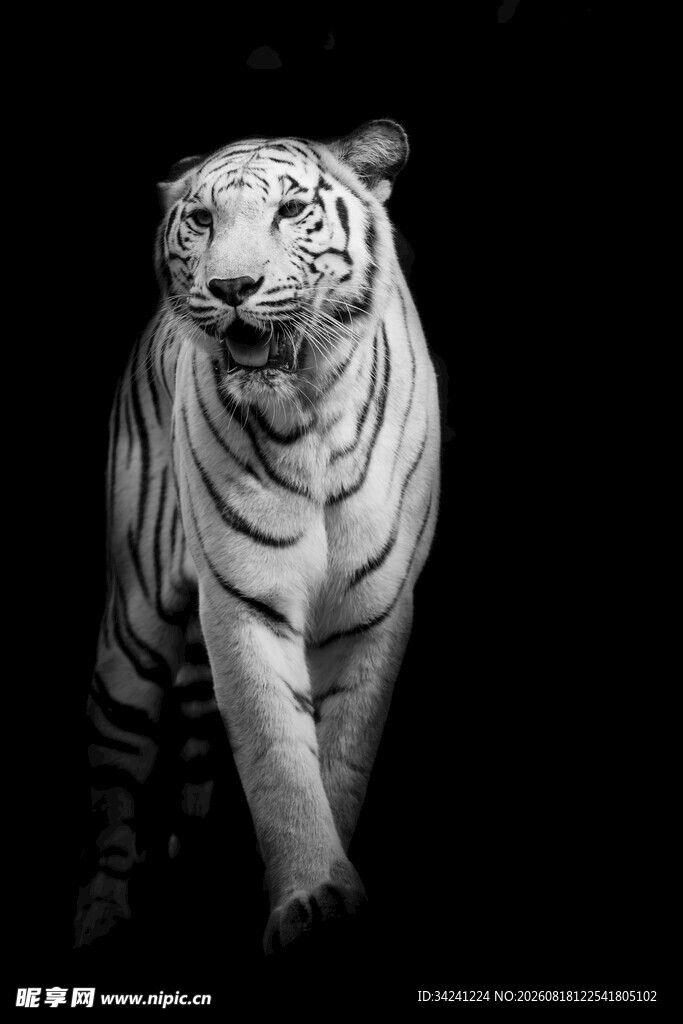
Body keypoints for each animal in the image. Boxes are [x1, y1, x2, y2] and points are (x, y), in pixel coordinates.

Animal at [75, 119, 441, 955]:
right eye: (202, 219)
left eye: (291, 210)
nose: (231, 288)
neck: (308, 411)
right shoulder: (242, 601)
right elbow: (276, 755)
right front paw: (309, 897)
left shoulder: (374, 611)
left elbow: (340, 758)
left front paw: (323, 894)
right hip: (132, 629)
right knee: (114, 786)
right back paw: (101, 916)